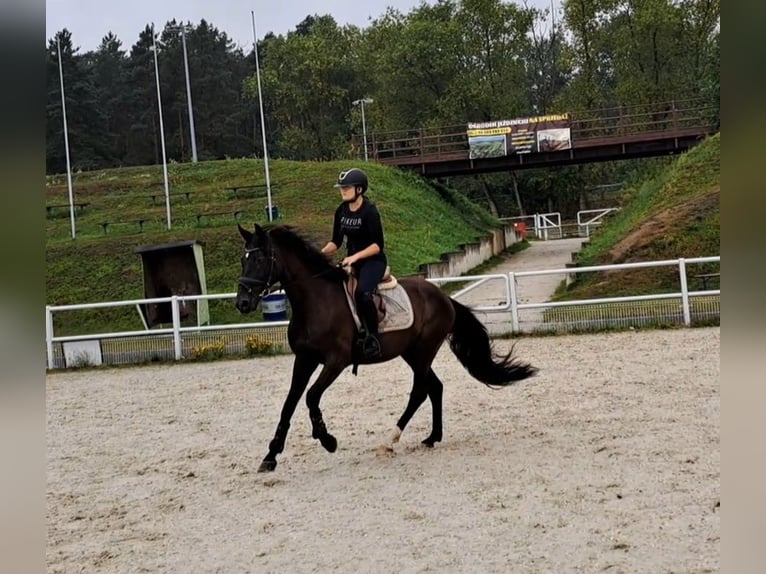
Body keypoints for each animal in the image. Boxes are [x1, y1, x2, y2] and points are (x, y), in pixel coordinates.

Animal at [237, 224, 536, 472]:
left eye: (260, 259)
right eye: (243, 259)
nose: (242, 302)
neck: (315, 301)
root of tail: (443, 297)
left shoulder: (336, 361)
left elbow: (311, 397)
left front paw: (327, 439)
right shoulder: (304, 360)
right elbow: (289, 404)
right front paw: (270, 456)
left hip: (423, 352)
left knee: (420, 392)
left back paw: (390, 440)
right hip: (412, 353)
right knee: (435, 387)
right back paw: (432, 437)